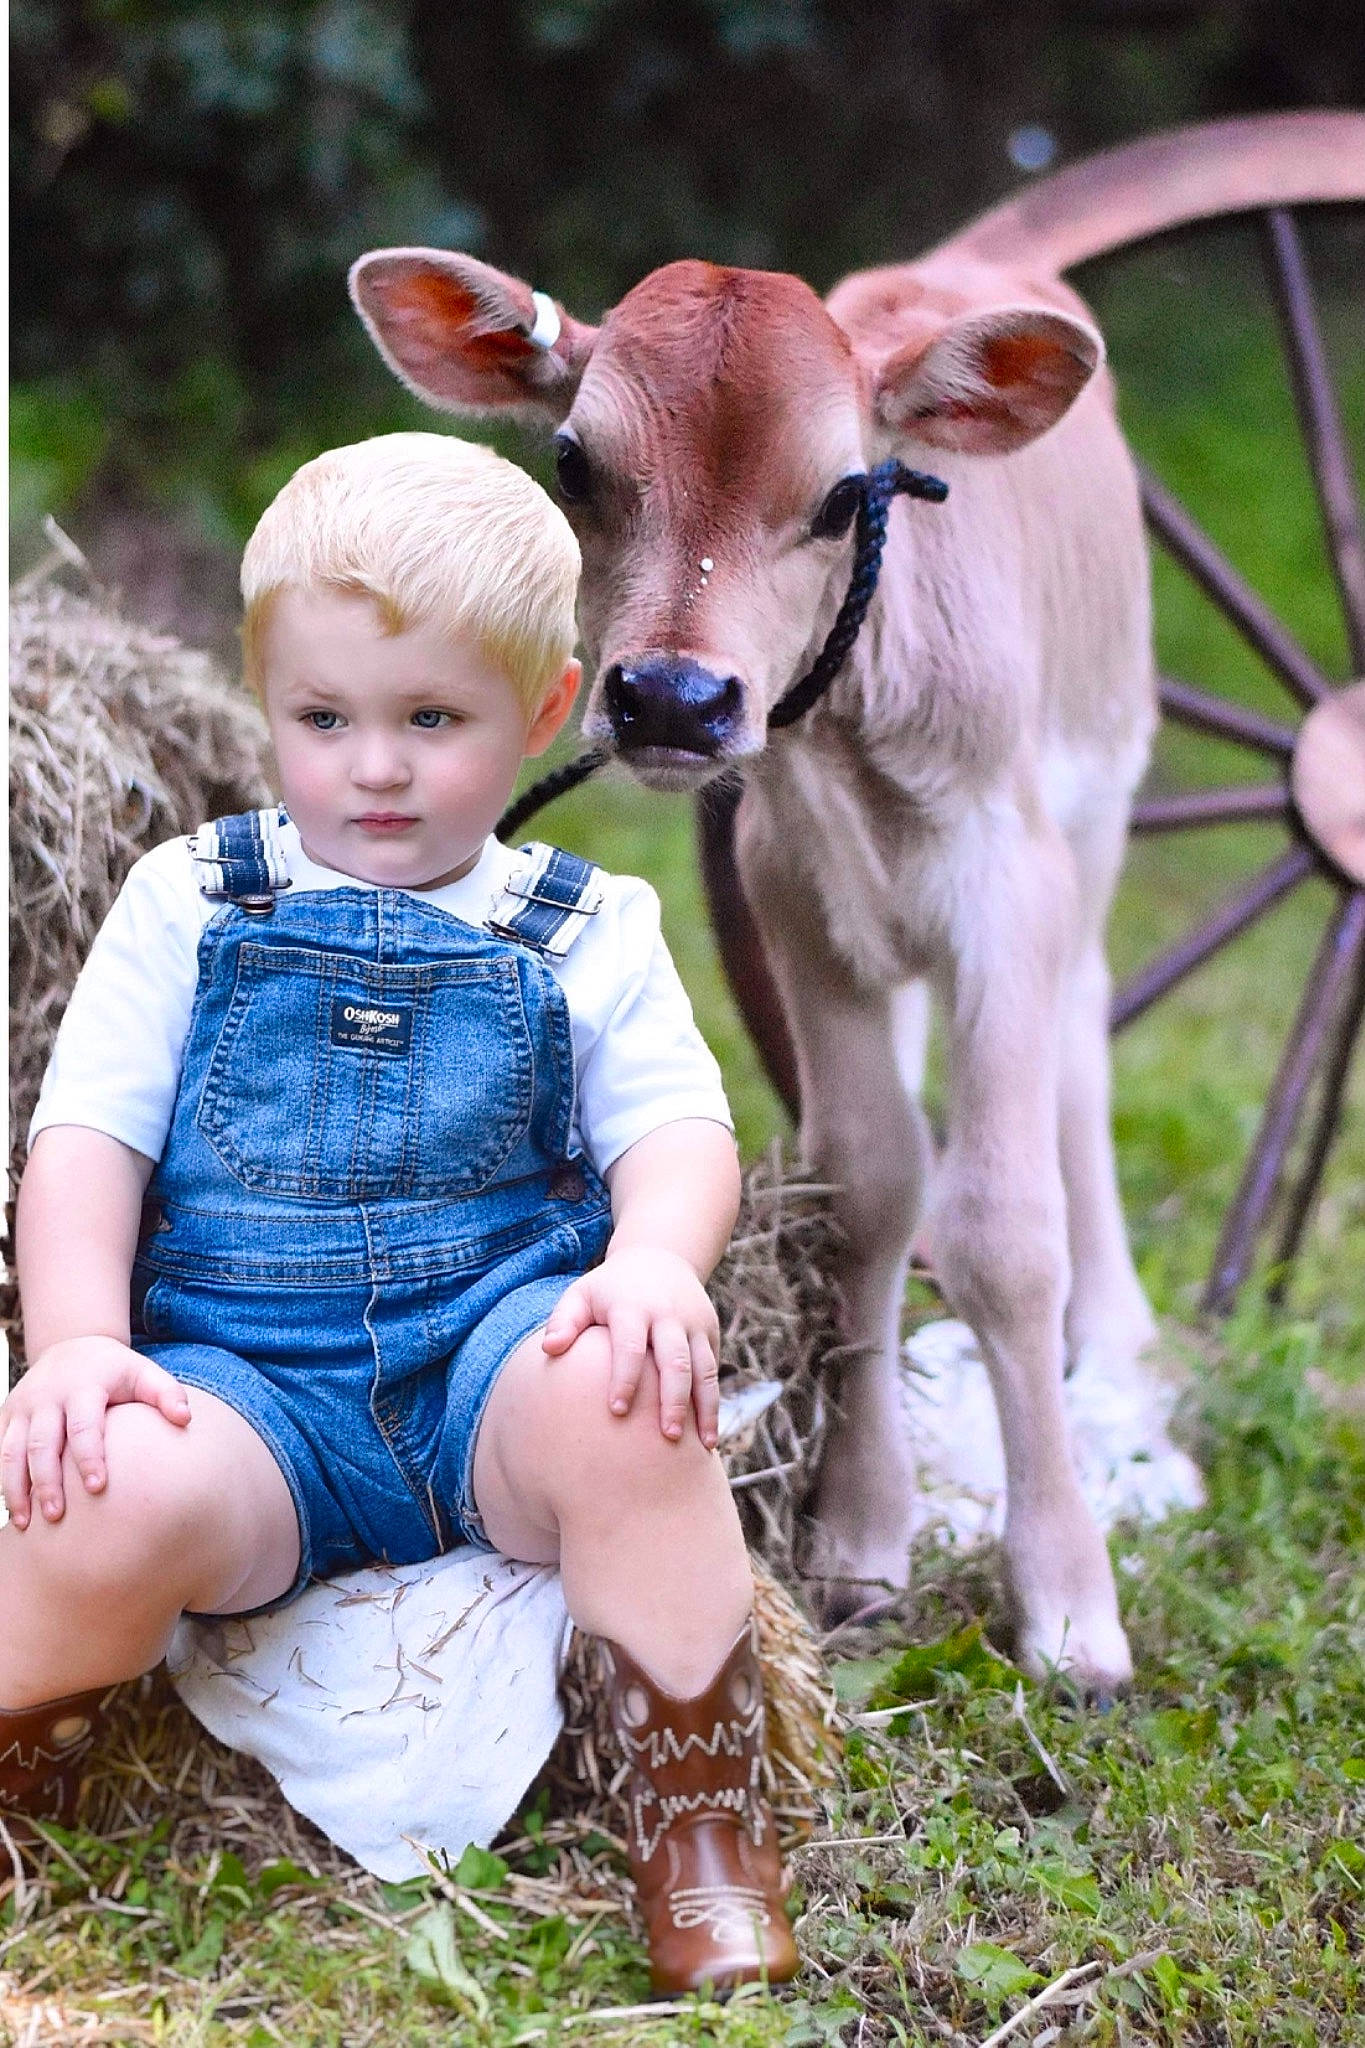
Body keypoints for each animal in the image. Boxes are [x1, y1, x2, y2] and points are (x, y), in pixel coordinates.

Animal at [349, 114, 1363, 1693]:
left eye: (843, 496)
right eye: (573, 462)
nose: (672, 697)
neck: (861, 734)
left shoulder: (1009, 887)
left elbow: (1003, 1225)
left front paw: (1068, 1600)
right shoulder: (795, 901)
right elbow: (871, 1187)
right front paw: (863, 1539)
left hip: (1097, 803)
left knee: (1081, 1049)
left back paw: (1121, 1352)